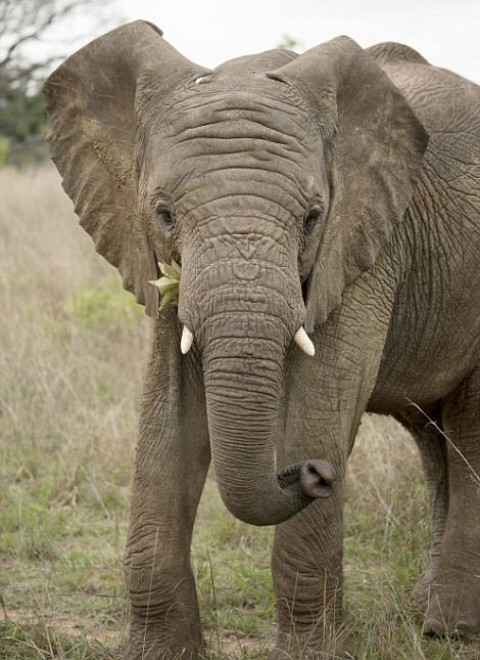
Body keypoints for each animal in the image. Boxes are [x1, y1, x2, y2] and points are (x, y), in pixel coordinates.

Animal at [44, 20, 480, 659]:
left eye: (313, 216)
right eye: (164, 213)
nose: (315, 473)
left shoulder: (365, 242)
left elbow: (324, 398)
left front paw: (314, 653)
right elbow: (167, 413)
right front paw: (159, 652)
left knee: (470, 431)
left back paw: (450, 627)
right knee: (433, 437)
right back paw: (427, 614)